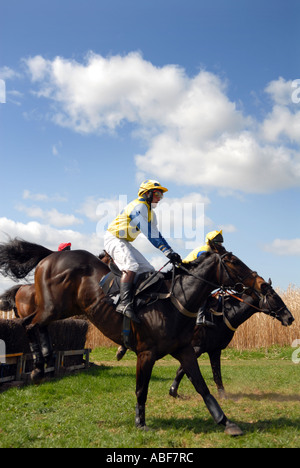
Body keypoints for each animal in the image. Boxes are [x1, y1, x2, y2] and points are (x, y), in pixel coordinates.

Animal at [0, 239, 292, 436]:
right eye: (233, 261)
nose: (260, 284)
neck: (176, 301)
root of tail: (52, 255)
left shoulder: (187, 349)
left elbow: (202, 384)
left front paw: (226, 421)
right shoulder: (148, 353)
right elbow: (142, 389)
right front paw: (140, 422)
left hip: (62, 308)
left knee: (33, 324)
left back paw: (45, 360)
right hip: (54, 307)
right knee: (29, 325)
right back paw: (38, 366)